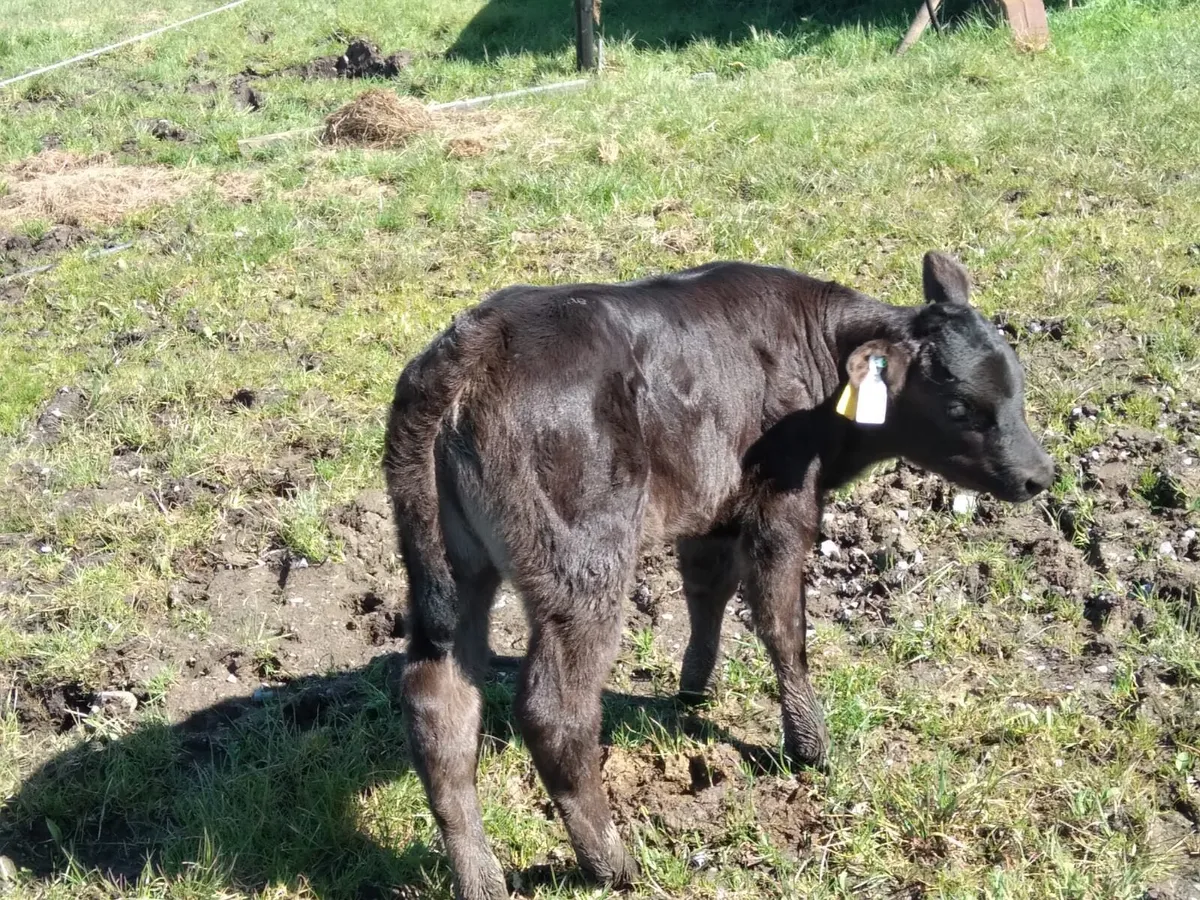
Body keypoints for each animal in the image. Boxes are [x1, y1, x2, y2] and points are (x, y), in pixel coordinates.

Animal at [383, 251, 1055, 900]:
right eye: (961, 406)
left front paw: (693, 692)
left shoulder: (712, 504)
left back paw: (482, 880)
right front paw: (809, 746)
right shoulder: (782, 500)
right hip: (583, 560)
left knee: (438, 704)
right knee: (555, 711)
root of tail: (469, 352)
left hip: (451, 567)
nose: (1038, 475)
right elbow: (782, 625)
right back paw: (611, 864)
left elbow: (707, 587)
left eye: (1017, 389)